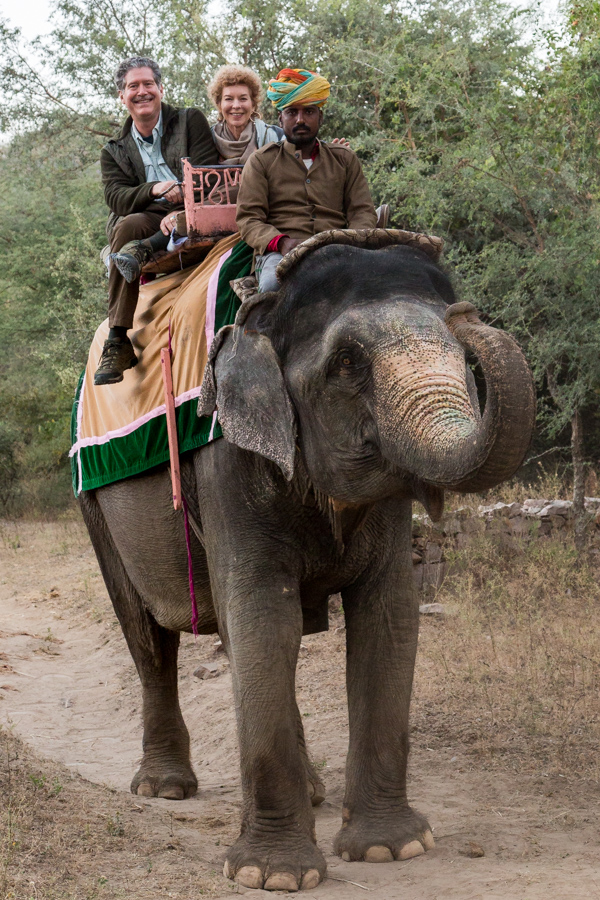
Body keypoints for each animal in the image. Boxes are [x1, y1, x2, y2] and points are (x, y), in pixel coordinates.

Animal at [79, 238, 536, 893]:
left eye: (458, 347)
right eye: (346, 363)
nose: (466, 315)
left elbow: (389, 618)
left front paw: (390, 850)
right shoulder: (226, 463)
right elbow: (263, 616)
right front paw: (272, 877)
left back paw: (315, 792)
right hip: (96, 511)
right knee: (147, 638)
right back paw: (164, 789)